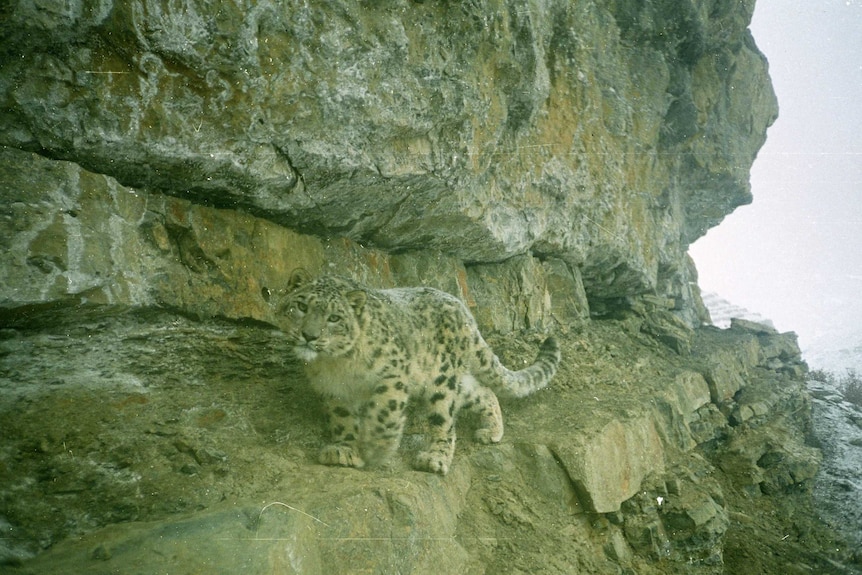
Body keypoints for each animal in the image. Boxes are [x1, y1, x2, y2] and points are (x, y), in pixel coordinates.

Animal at [274, 270, 564, 476]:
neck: (336, 365)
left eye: (334, 318)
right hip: (456, 381)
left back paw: (434, 458)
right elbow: (342, 420)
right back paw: (491, 431)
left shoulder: (393, 375)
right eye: (301, 306)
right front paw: (344, 450)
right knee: (484, 391)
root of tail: (464, 312)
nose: (309, 335)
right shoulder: (333, 390)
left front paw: (377, 450)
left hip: (441, 379)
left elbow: (385, 414)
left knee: (445, 421)